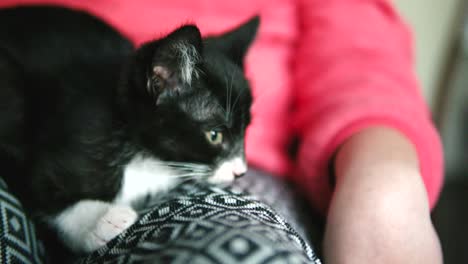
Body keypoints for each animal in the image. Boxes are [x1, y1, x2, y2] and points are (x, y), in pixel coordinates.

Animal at [0, 6, 258, 253]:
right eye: (214, 135)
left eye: (245, 130)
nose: (241, 172)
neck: (146, 156)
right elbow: (39, 186)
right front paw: (102, 220)